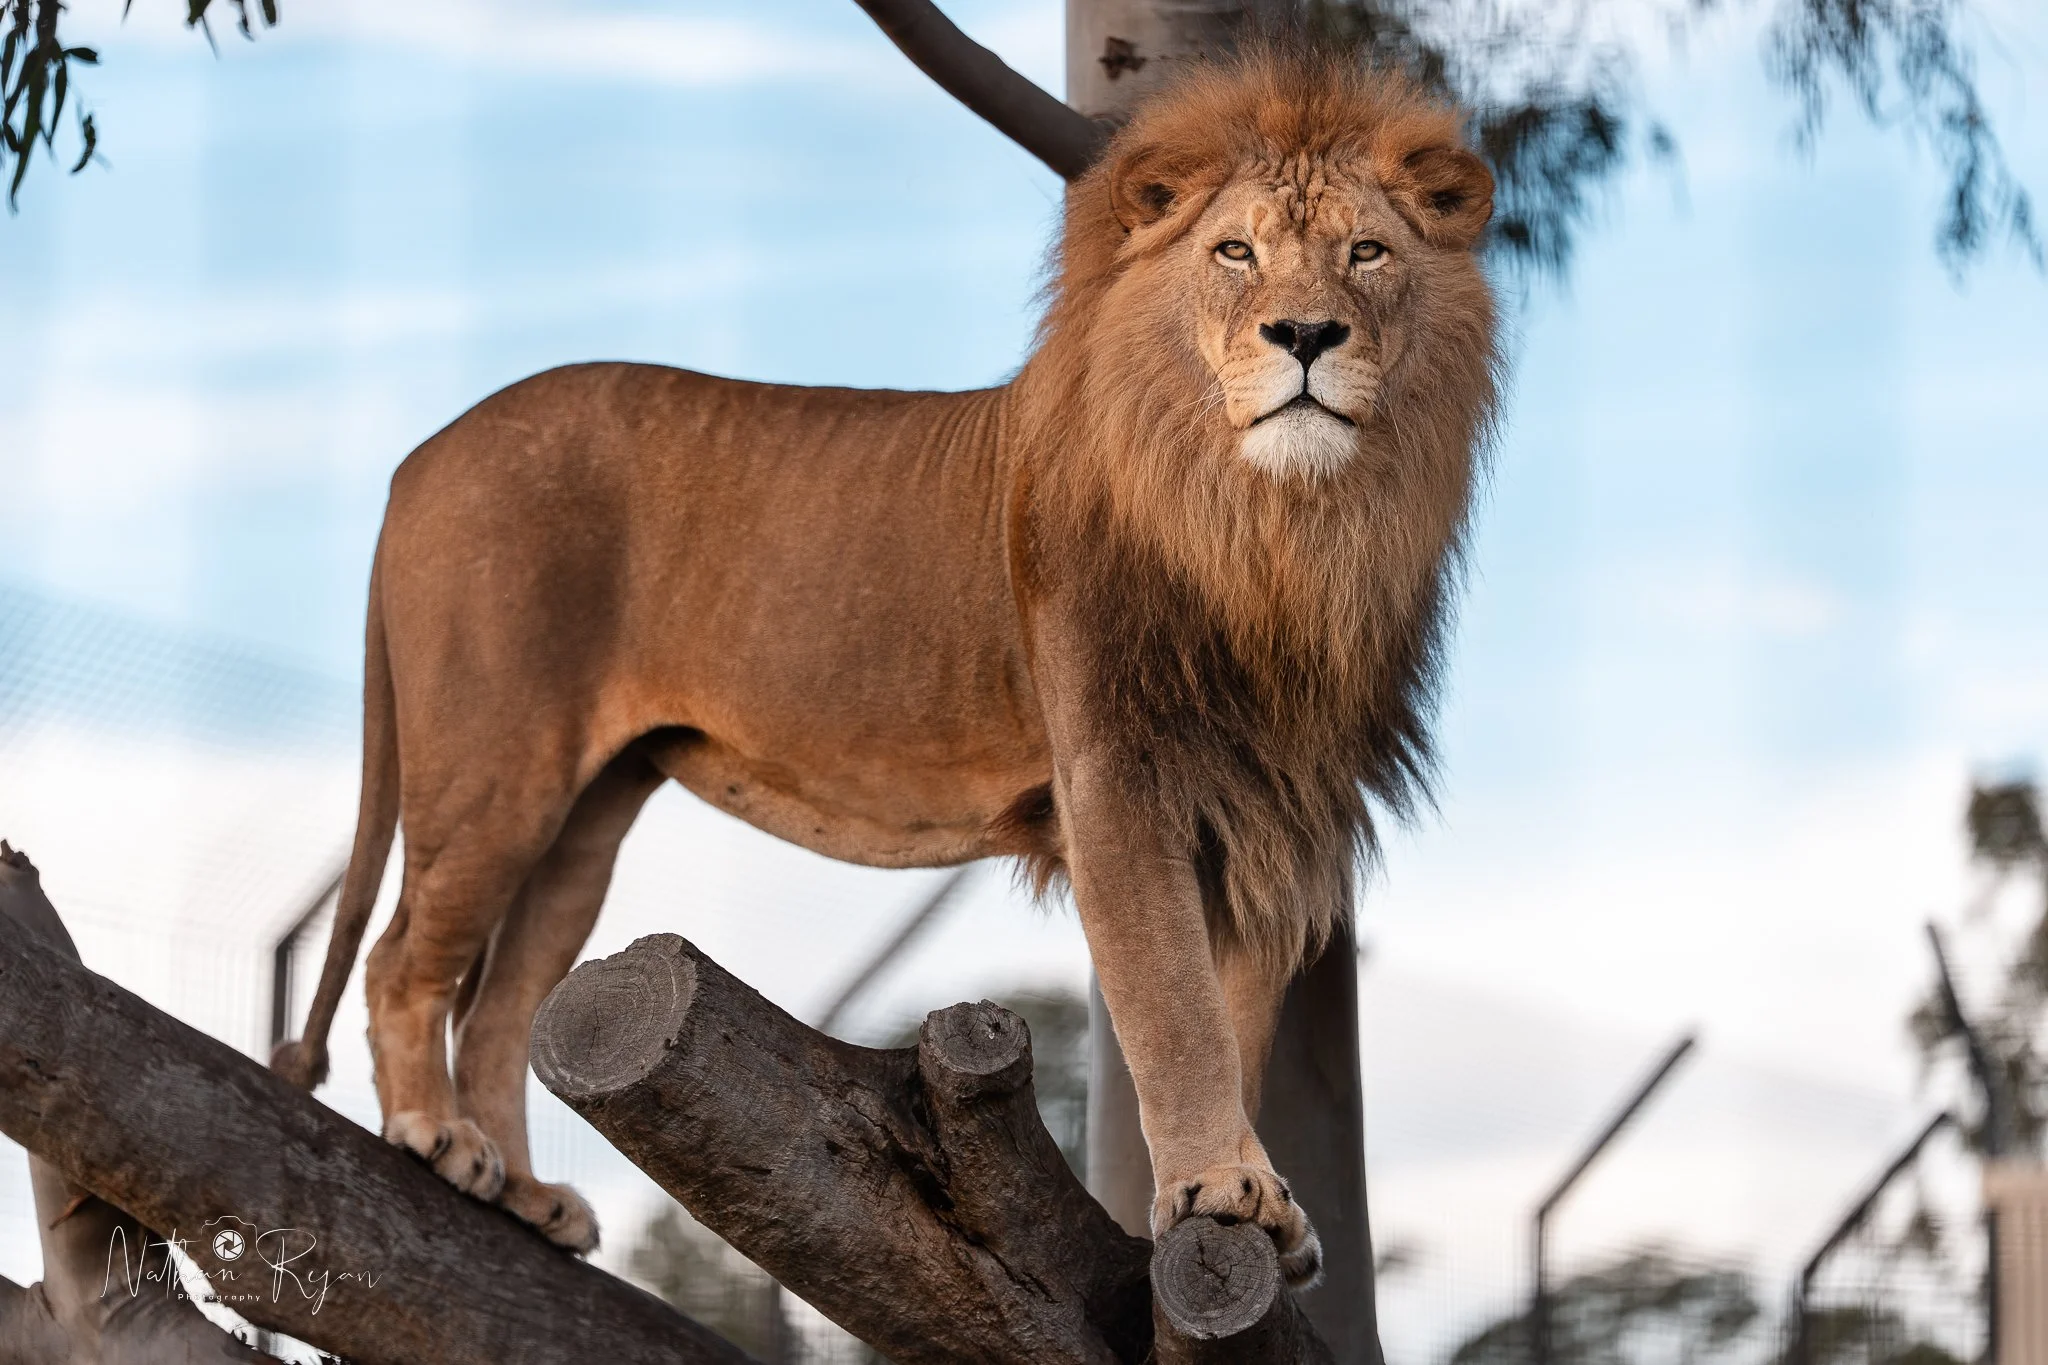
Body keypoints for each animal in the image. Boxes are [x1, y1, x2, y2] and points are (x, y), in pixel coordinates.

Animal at [272, 50, 1498, 1286]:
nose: (1306, 334)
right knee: (403, 960)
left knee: (504, 1004)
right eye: (1235, 252)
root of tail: (419, 457)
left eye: (1366, 253)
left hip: (589, 813)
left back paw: (524, 1199)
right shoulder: (1116, 785)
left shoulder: (1265, 812)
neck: (1274, 531)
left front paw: (1252, 1208)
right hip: (498, 765)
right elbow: (1173, 1011)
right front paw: (1216, 1187)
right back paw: (436, 1138)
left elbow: (1233, 1017)